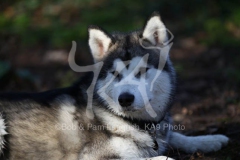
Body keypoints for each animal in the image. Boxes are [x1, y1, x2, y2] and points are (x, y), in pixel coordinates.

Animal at [0, 11, 229, 159]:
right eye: (115, 74)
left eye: (142, 71)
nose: (125, 99)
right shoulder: (92, 156)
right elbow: (156, 158)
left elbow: (176, 135)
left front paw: (209, 139)